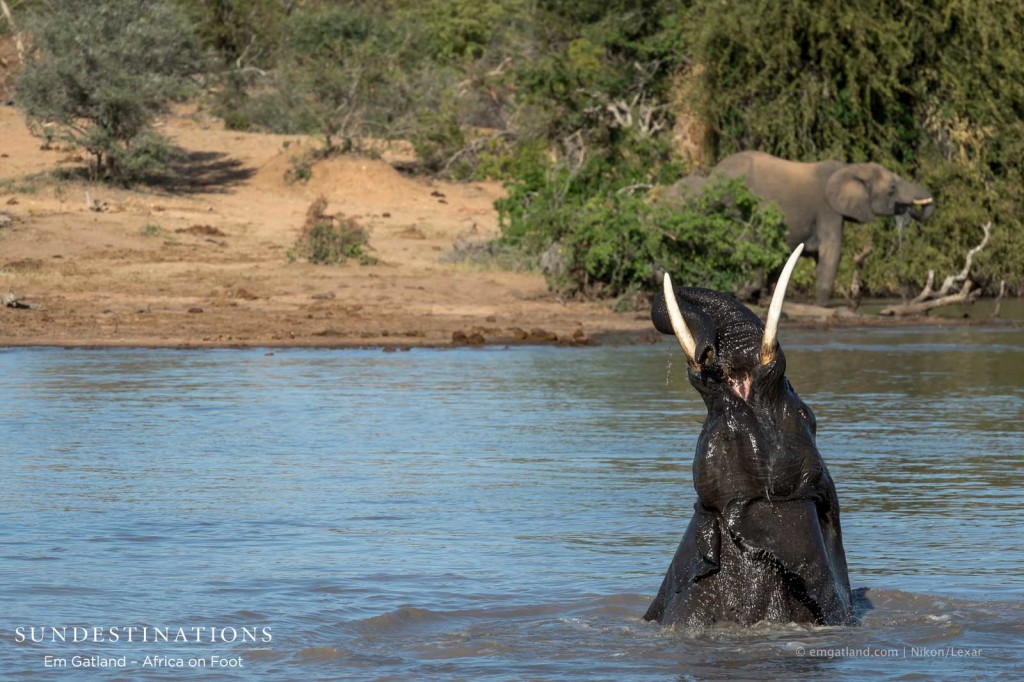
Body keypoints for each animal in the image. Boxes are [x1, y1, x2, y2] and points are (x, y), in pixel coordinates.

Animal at [663, 152, 937, 303]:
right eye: (892, 188)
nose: (918, 207)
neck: (850, 167)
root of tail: (712, 177)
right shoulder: (827, 210)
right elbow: (831, 252)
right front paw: (821, 305)